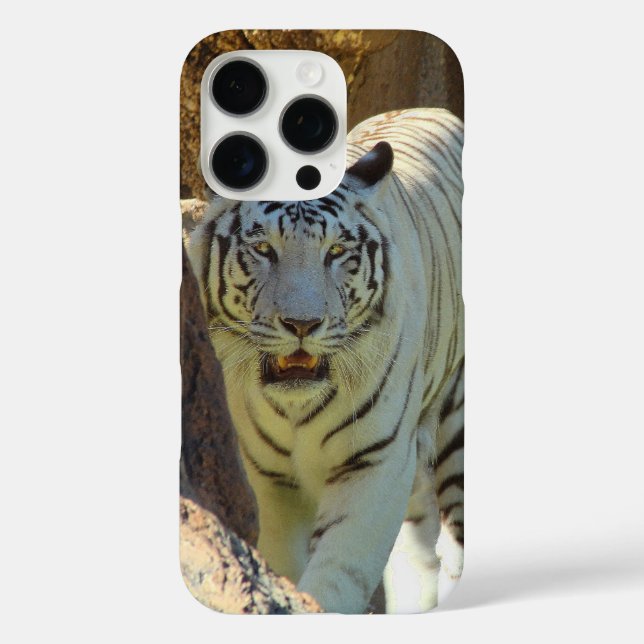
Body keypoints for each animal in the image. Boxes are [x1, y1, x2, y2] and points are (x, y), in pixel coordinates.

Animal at [186, 107, 464, 614]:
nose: (302, 324)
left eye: (336, 252)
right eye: (263, 249)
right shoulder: (268, 476)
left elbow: (340, 571)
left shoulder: (375, 463)